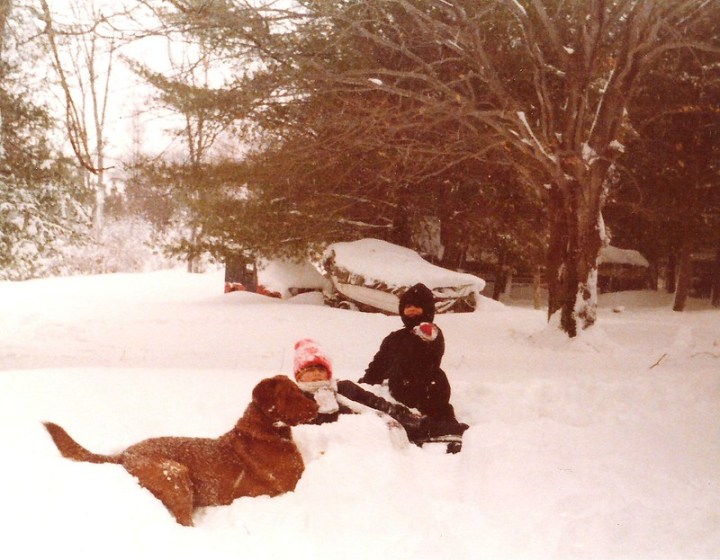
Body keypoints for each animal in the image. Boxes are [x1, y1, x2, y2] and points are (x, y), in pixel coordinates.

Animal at [43, 376, 318, 524]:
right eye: (291, 393)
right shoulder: (289, 486)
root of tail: (124, 454)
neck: (266, 430)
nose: (315, 403)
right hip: (176, 475)